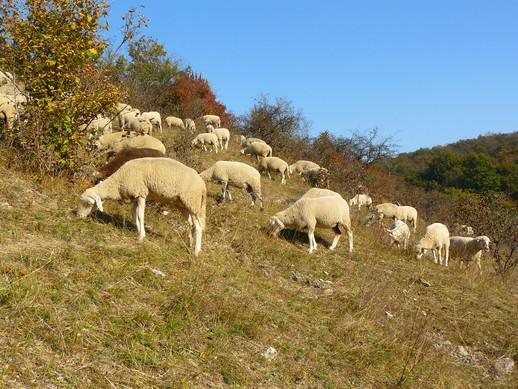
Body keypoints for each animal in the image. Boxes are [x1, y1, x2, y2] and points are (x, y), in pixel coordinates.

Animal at [77, 156, 207, 256]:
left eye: (88, 203)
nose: (78, 217)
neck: (118, 182)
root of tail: (203, 184)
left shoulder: (140, 193)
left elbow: (140, 215)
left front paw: (141, 237)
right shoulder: (135, 197)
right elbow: (135, 215)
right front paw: (139, 232)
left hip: (193, 202)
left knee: (198, 226)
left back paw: (196, 251)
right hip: (183, 204)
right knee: (190, 223)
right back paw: (189, 244)